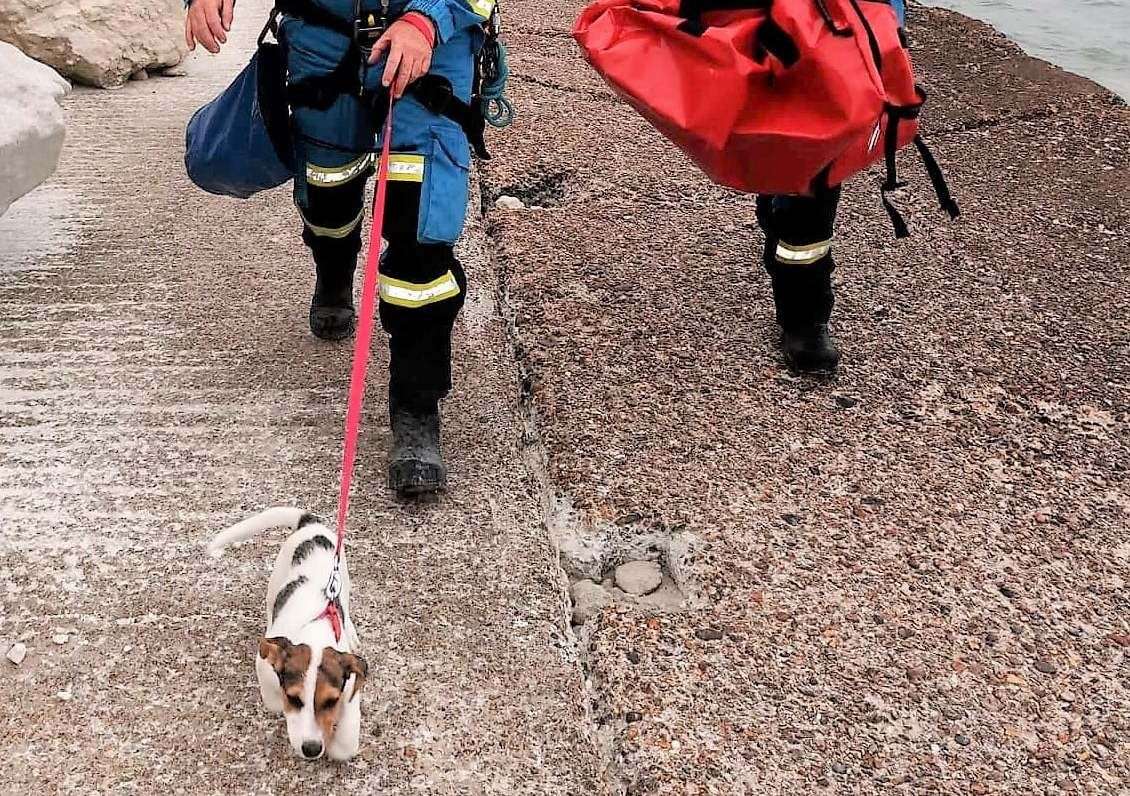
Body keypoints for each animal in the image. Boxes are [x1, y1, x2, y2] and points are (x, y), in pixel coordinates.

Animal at [210, 506, 368, 759]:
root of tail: (310, 523)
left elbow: (345, 744)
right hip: (276, 579)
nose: (311, 749)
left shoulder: (350, 687)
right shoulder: (264, 665)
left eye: (330, 701)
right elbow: (275, 701)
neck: (315, 632)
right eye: (294, 698)